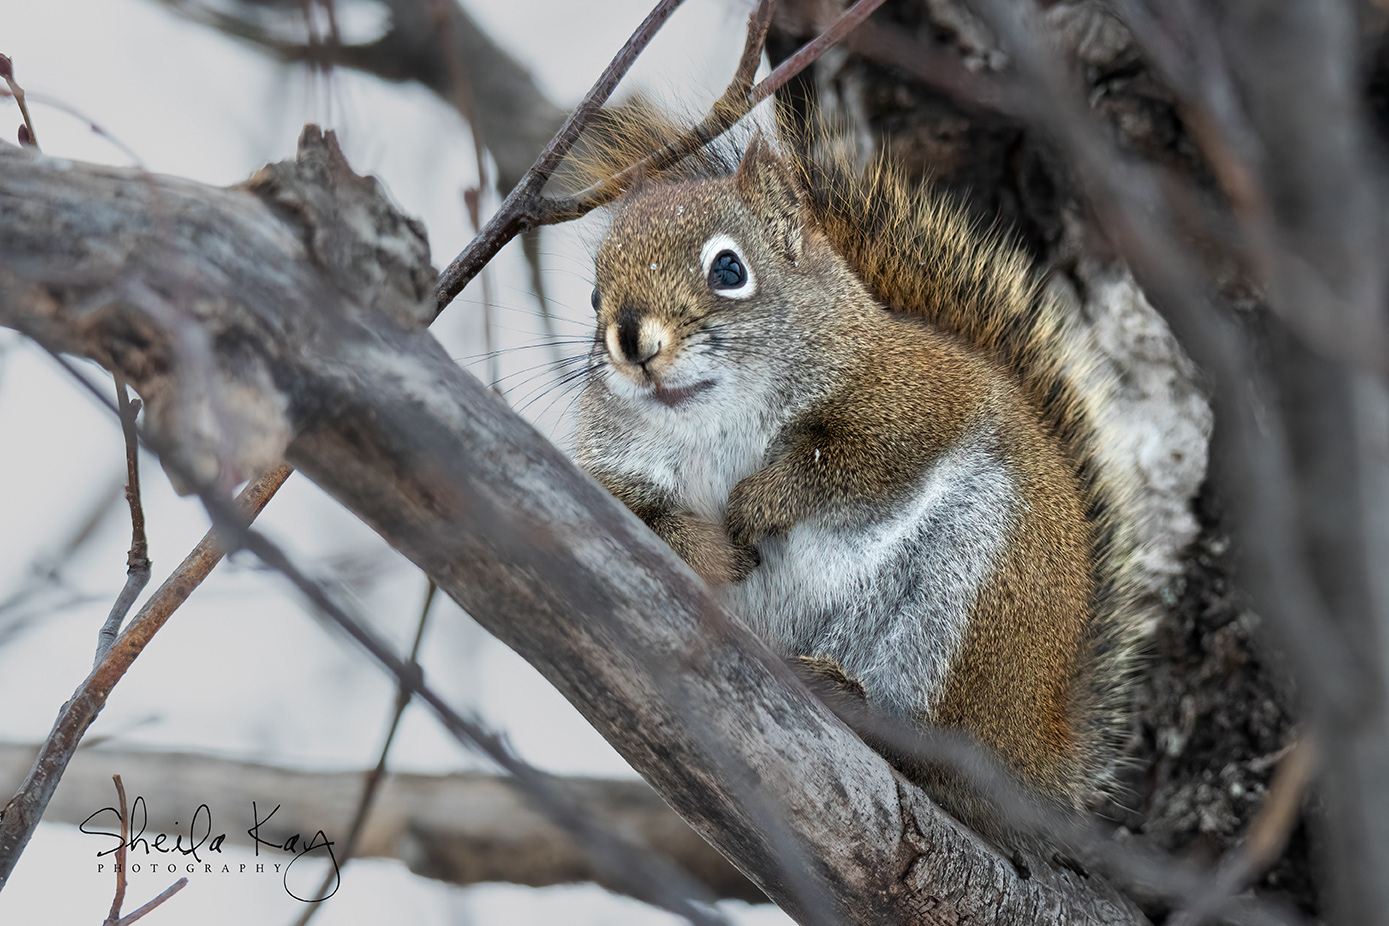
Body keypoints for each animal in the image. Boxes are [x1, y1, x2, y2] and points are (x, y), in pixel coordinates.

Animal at [569, 108, 1149, 847]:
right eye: (593, 295)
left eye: (728, 268)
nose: (629, 337)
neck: (709, 420)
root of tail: (1043, 759)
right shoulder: (612, 474)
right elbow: (647, 517)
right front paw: (709, 550)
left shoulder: (919, 397)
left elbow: (853, 463)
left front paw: (758, 503)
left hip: (977, 601)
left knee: (954, 765)